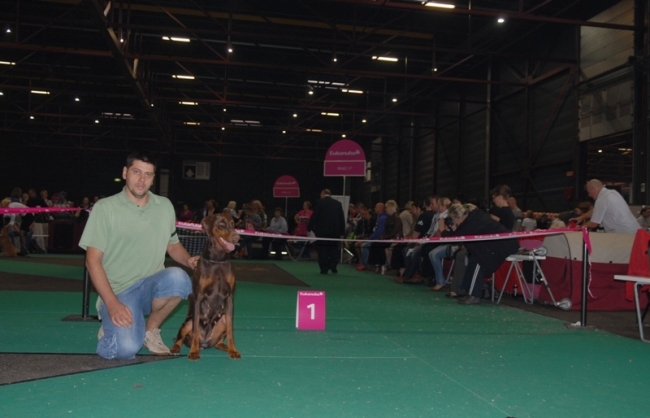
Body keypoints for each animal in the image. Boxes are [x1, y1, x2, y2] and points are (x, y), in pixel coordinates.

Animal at [170, 213, 241, 360]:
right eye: (221, 224)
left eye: (233, 224)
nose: (237, 237)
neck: (217, 260)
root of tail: (205, 342)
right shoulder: (199, 297)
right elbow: (196, 329)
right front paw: (193, 352)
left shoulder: (229, 297)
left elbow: (230, 330)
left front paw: (233, 350)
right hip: (187, 322)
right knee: (181, 337)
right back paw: (176, 348)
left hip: (222, 319)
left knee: (218, 342)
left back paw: (225, 347)